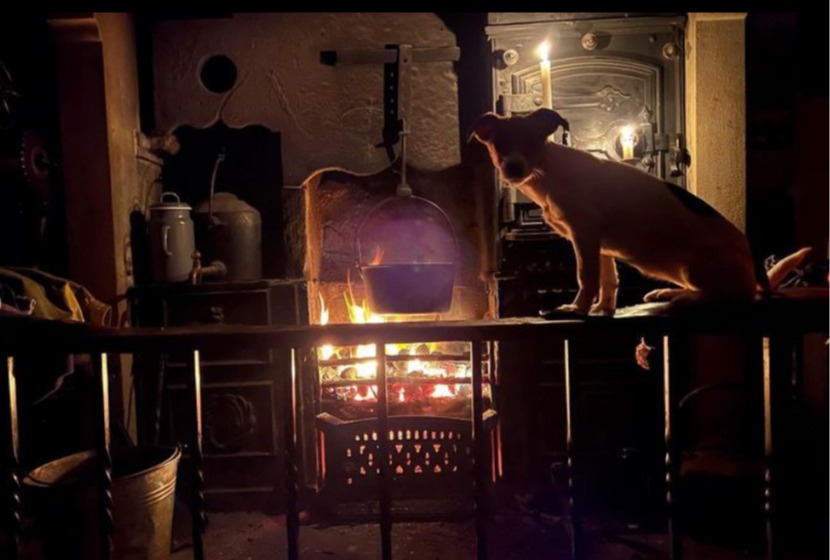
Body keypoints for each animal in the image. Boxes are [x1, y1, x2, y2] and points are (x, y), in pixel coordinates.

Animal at [474, 107, 812, 312]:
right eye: (498, 144)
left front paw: (577, 309)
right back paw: (670, 294)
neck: (548, 172)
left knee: (729, 295)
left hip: (695, 266)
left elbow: (586, 277)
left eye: (532, 140)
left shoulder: (584, 235)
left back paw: (682, 298)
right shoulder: (600, 245)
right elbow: (608, 280)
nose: (513, 168)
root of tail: (754, 267)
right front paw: (602, 309)